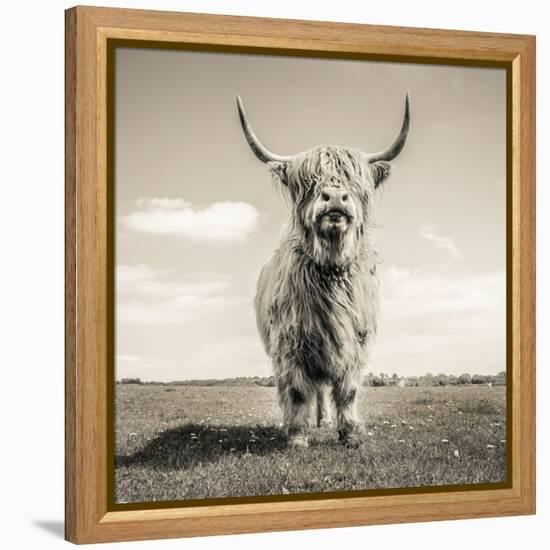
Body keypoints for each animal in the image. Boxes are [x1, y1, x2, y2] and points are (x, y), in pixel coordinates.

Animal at [239, 95, 412, 448]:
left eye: (356, 182)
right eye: (307, 182)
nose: (334, 197)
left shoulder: (356, 343)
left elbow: (348, 391)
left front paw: (350, 434)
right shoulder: (290, 344)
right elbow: (295, 390)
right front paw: (297, 436)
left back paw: (325, 420)